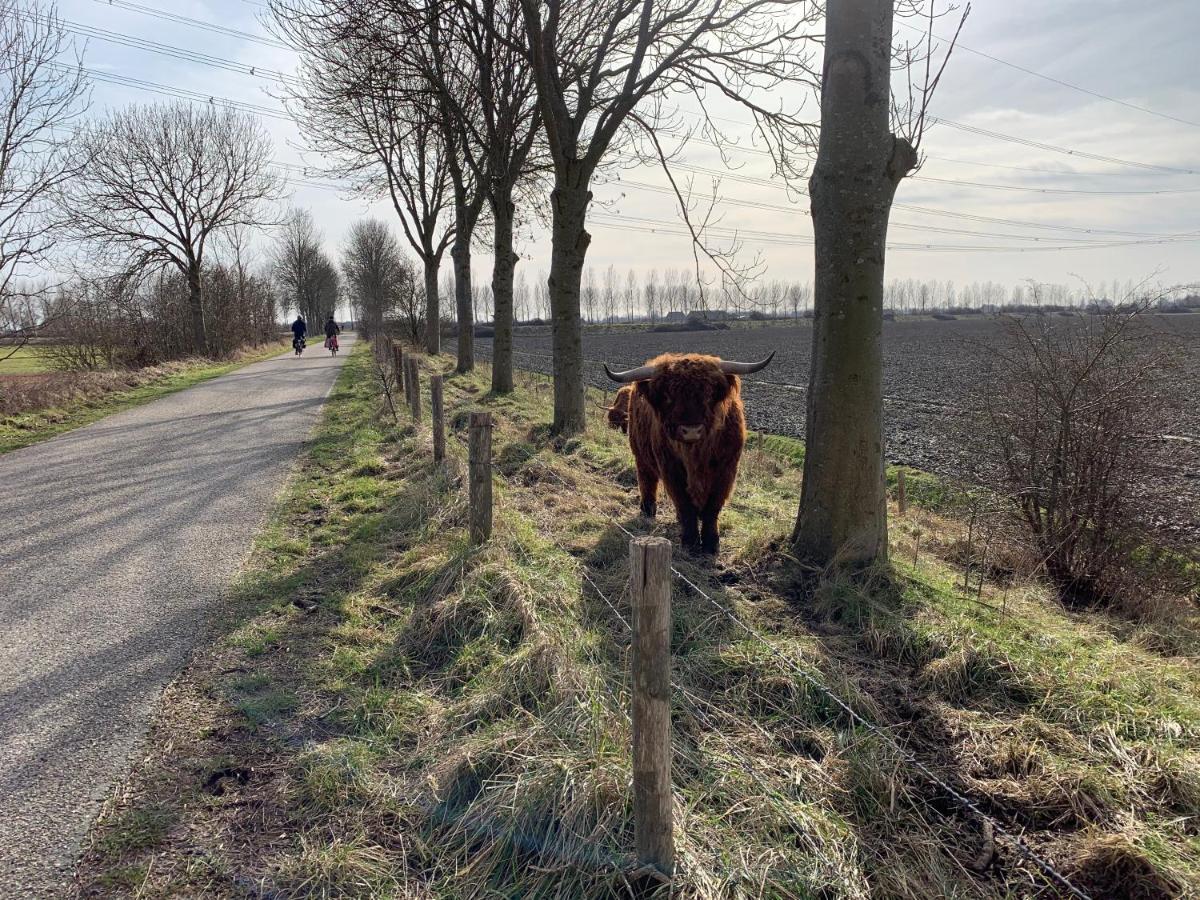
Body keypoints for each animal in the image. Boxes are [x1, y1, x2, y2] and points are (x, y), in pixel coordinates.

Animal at [604, 352, 772, 556]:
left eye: (709, 393)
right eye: (668, 395)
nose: (691, 431)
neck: (695, 455)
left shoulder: (727, 471)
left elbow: (712, 508)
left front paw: (711, 543)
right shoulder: (671, 470)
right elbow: (684, 504)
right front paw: (690, 541)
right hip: (640, 455)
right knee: (646, 480)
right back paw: (647, 509)